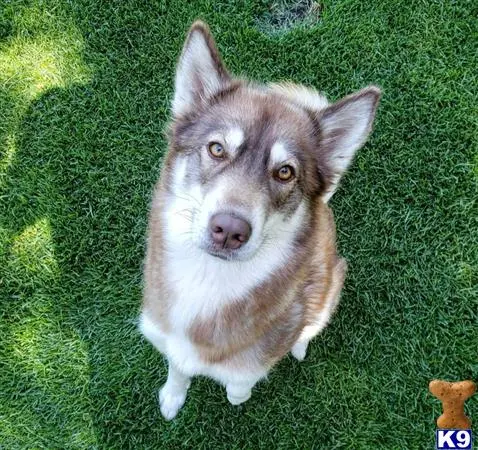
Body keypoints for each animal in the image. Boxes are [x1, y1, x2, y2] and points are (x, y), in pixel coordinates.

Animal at [138, 18, 380, 418]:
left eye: (284, 172)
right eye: (216, 149)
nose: (229, 230)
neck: (207, 284)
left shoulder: (252, 361)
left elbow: (241, 381)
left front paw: (237, 395)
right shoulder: (165, 336)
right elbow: (177, 367)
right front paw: (172, 396)